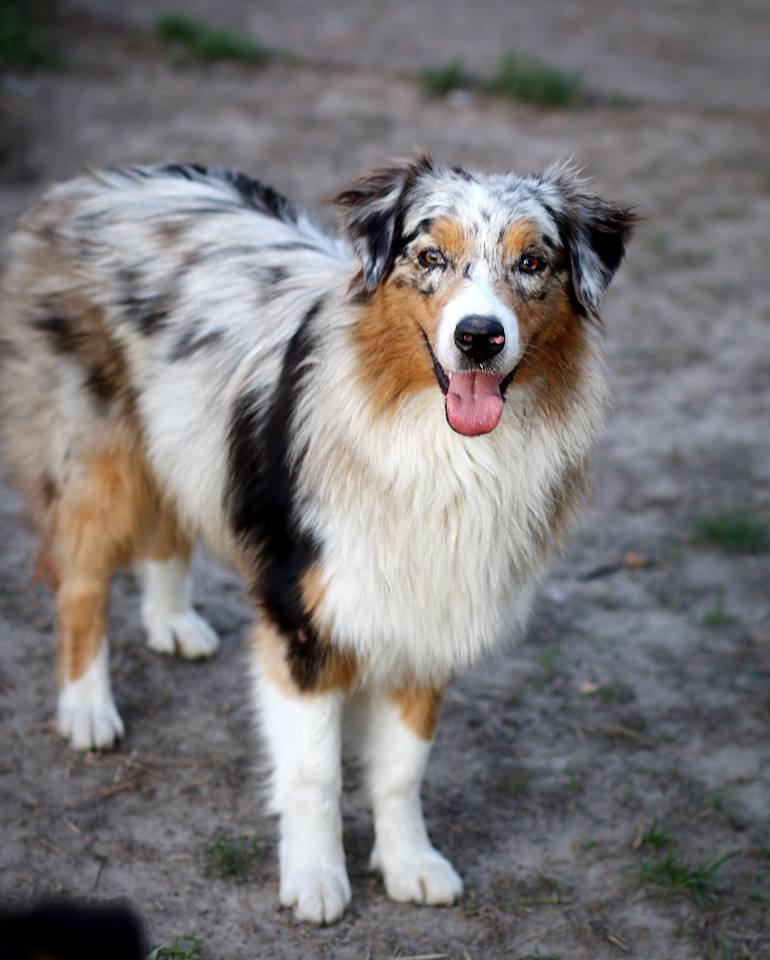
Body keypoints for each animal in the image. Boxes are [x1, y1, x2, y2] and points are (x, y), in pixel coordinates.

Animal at [0, 156, 632, 924]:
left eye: (533, 263)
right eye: (430, 257)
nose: (479, 337)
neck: (443, 451)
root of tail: (87, 184)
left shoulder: (433, 610)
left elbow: (402, 768)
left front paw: (410, 863)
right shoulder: (301, 619)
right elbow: (314, 772)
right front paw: (315, 877)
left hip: (179, 432)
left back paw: (173, 620)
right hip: (97, 457)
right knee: (81, 586)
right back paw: (87, 708)